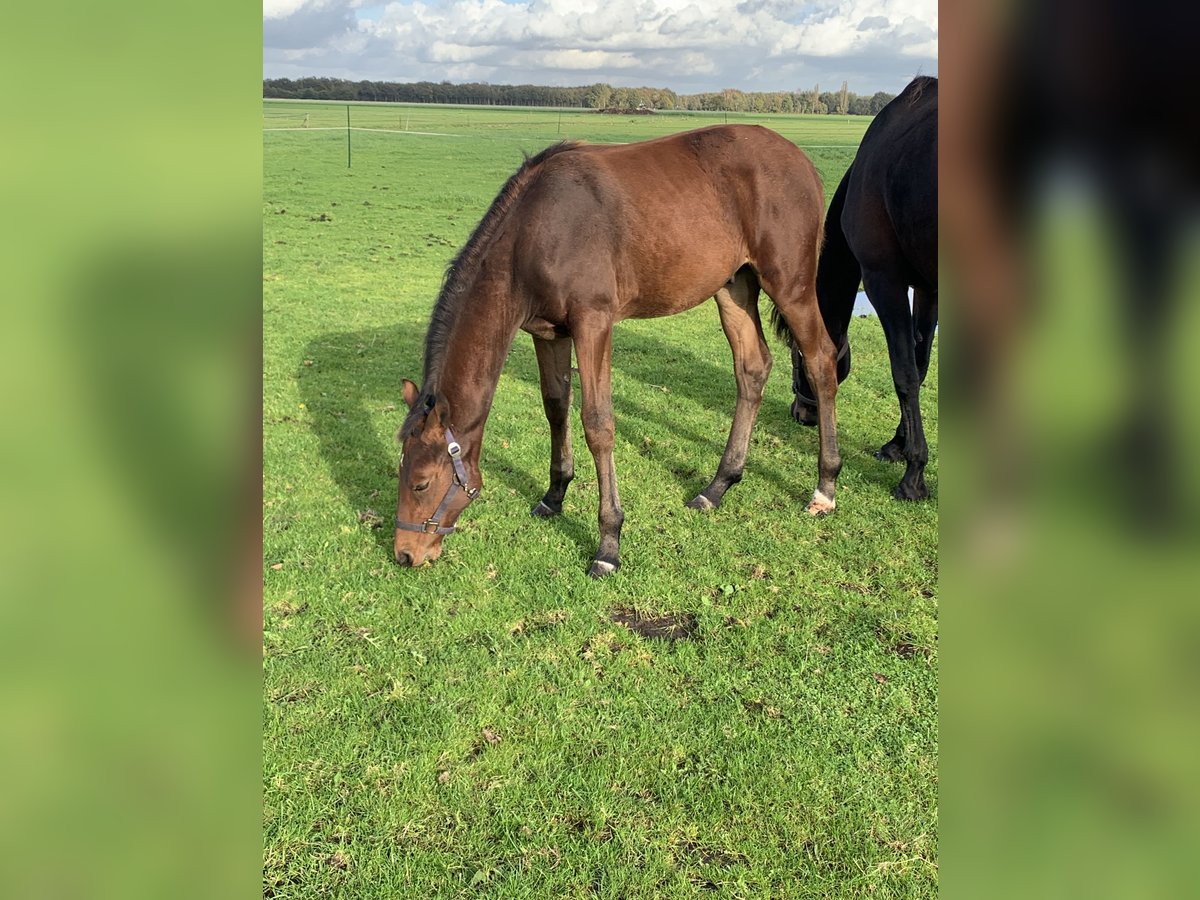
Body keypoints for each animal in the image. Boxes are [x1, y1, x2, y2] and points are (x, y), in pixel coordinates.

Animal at [787, 75, 936, 501]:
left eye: (795, 354)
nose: (801, 412)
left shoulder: (884, 280)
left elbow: (904, 373)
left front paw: (914, 473)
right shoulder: (927, 288)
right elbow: (920, 365)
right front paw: (898, 445)